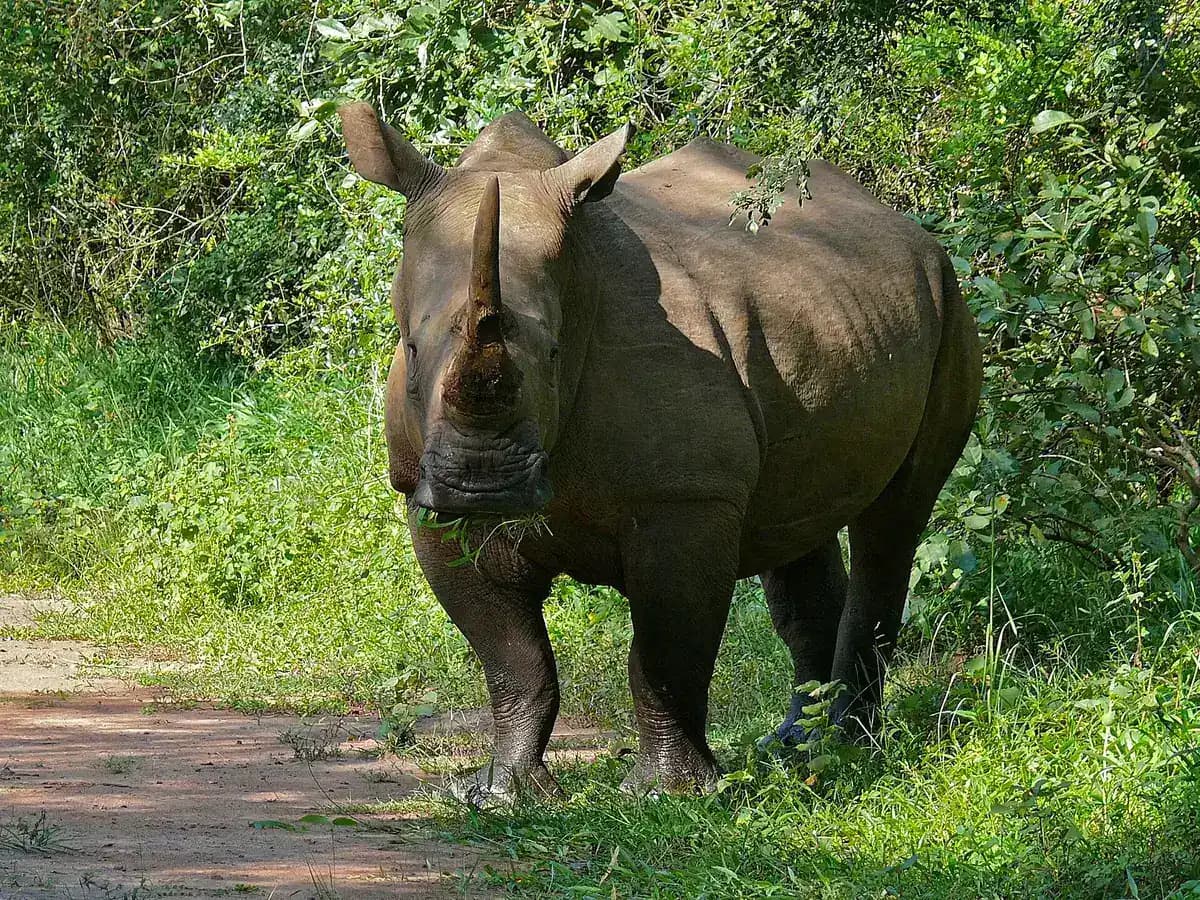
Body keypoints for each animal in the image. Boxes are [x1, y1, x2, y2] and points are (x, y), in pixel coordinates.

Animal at [338, 103, 982, 801]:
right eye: (412, 351)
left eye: (555, 355)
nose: (482, 485)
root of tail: (905, 226)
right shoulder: (425, 498)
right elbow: (513, 658)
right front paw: (500, 790)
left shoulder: (687, 498)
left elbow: (666, 653)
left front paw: (666, 793)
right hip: (831, 312)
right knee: (798, 518)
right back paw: (795, 747)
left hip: (951, 302)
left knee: (895, 518)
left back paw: (846, 747)